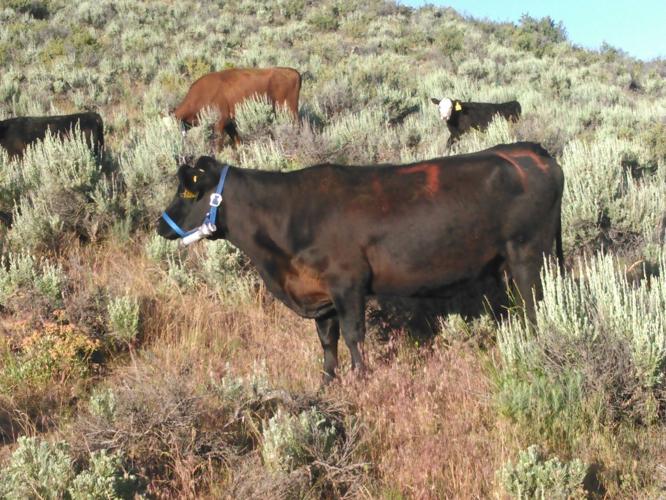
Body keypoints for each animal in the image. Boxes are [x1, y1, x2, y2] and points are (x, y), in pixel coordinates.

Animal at [156, 142, 564, 382]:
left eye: (188, 192)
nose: (160, 225)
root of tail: (530, 151)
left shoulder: (347, 284)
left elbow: (354, 336)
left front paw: (362, 379)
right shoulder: (319, 297)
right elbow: (327, 342)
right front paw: (328, 383)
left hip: (528, 255)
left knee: (534, 307)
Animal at [171, 67, 301, 147]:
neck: (201, 94)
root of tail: (294, 72)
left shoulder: (220, 123)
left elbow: (218, 144)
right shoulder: (229, 124)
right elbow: (237, 140)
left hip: (289, 110)